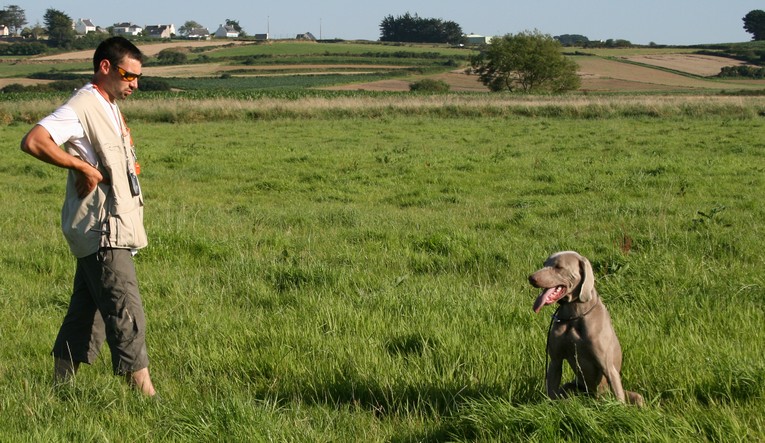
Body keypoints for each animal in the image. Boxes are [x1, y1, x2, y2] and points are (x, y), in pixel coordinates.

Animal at [528, 250, 640, 406]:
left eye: (558, 267)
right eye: (544, 264)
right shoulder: (555, 360)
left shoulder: (608, 367)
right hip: (570, 387)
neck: (574, 315)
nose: (531, 278)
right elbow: (551, 390)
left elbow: (619, 397)